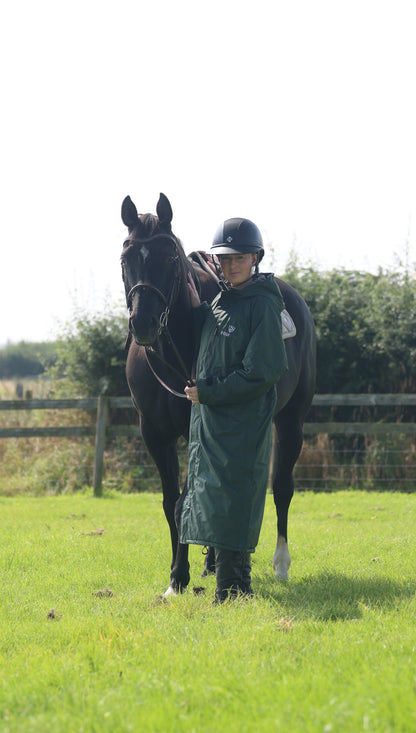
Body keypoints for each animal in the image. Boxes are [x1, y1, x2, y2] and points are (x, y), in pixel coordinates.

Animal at [121, 193, 316, 595]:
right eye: (125, 258)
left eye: (169, 258)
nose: (143, 323)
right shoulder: (154, 434)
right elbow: (171, 502)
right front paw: (180, 575)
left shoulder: (197, 424)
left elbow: (184, 502)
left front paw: (178, 577)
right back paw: (212, 562)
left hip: (291, 420)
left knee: (281, 488)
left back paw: (280, 564)